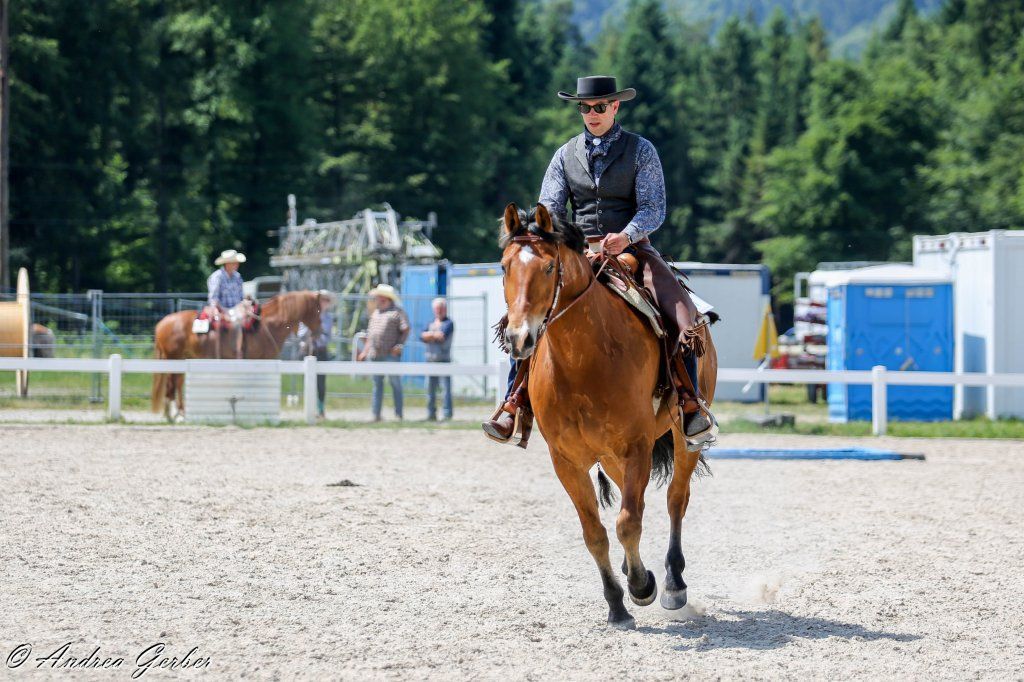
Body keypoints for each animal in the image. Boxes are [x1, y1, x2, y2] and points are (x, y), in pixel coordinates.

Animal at [151, 290, 331, 421]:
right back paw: (176, 415)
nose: (321, 331)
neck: (267, 324)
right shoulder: (259, 360)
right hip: (173, 358)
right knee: (172, 384)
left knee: (176, 384)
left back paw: (174, 414)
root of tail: (161, 323)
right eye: (318, 310)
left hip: (180, 358)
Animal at [499, 202, 717, 629]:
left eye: (548, 268)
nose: (519, 339)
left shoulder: (636, 447)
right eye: (504, 266)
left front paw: (642, 586)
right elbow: (595, 532)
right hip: (614, 457)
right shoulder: (567, 461)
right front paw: (617, 603)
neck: (583, 361)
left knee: (675, 500)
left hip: (682, 440)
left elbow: (627, 523)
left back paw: (672, 583)